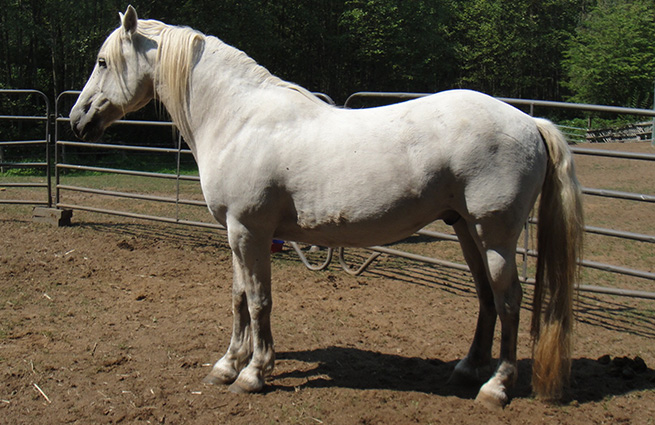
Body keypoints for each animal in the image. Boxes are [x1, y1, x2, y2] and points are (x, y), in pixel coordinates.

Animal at [70, 6, 584, 410]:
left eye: (102, 61)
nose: (77, 118)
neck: (238, 119)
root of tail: (529, 121)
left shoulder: (250, 232)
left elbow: (258, 301)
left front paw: (254, 374)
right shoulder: (237, 234)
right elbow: (238, 299)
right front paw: (226, 365)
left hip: (494, 234)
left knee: (509, 299)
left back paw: (496, 387)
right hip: (465, 230)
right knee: (486, 297)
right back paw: (467, 369)